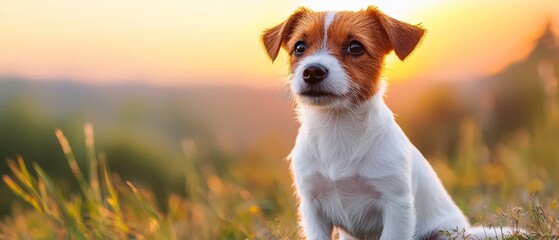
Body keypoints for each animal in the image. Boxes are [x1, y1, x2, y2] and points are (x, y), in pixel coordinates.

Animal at [262, 6, 520, 239]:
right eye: (299, 47)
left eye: (355, 47)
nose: (312, 71)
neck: (337, 125)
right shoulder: (312, 206)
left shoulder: (397, 204)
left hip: (444, 233)